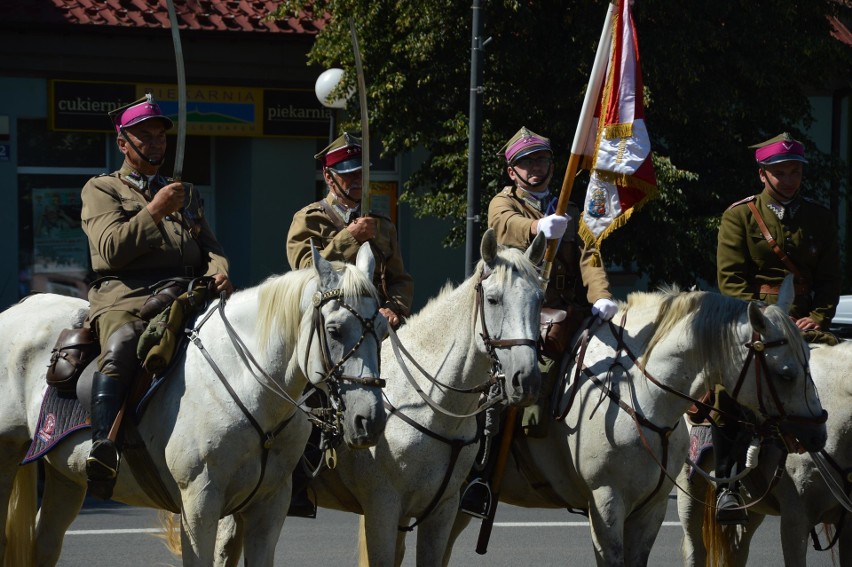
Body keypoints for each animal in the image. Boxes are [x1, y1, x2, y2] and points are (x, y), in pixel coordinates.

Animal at [1, 245, 388, 567]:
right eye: (335, 330)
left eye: (383, 330)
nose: (368, 420)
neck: (248, 385)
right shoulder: (199, 503)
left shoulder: (270, 506)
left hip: (66, 475)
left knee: (45, 544)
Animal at [213, 227, 544, 567]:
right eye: (493, 299)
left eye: (539, 300)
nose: (527, 379)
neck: (431, 407)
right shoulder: (382, 509)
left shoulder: (442, 511)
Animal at [446, 278, 824, 567]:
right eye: (785, 373)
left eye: (810, 357)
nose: (818, 433)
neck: (641, 394)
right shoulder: (606, 503)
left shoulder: (650, 511)